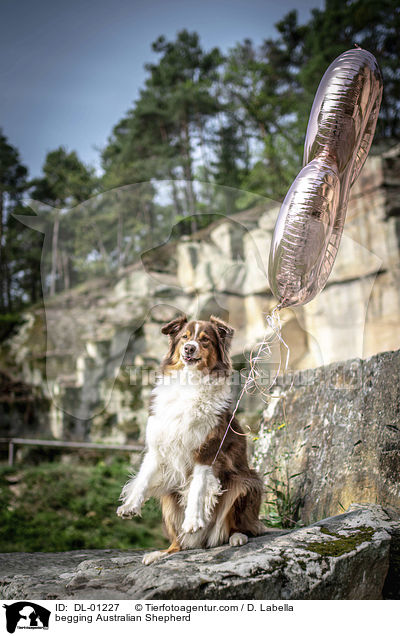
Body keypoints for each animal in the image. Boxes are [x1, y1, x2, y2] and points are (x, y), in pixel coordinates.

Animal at [116, 316, 266, 564]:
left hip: (244, 481)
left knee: (243, 526)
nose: (189, 348)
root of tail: (205, 541)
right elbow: (144, 478)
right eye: (184, 337)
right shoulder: (158, 447)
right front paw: (130, 505)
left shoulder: (207, 451)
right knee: (178, 543)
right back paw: (160, 553)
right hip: (169, 500)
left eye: (205, 340)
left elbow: (197, 487)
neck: (189, 382)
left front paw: (193, 519)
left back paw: (237, 537)